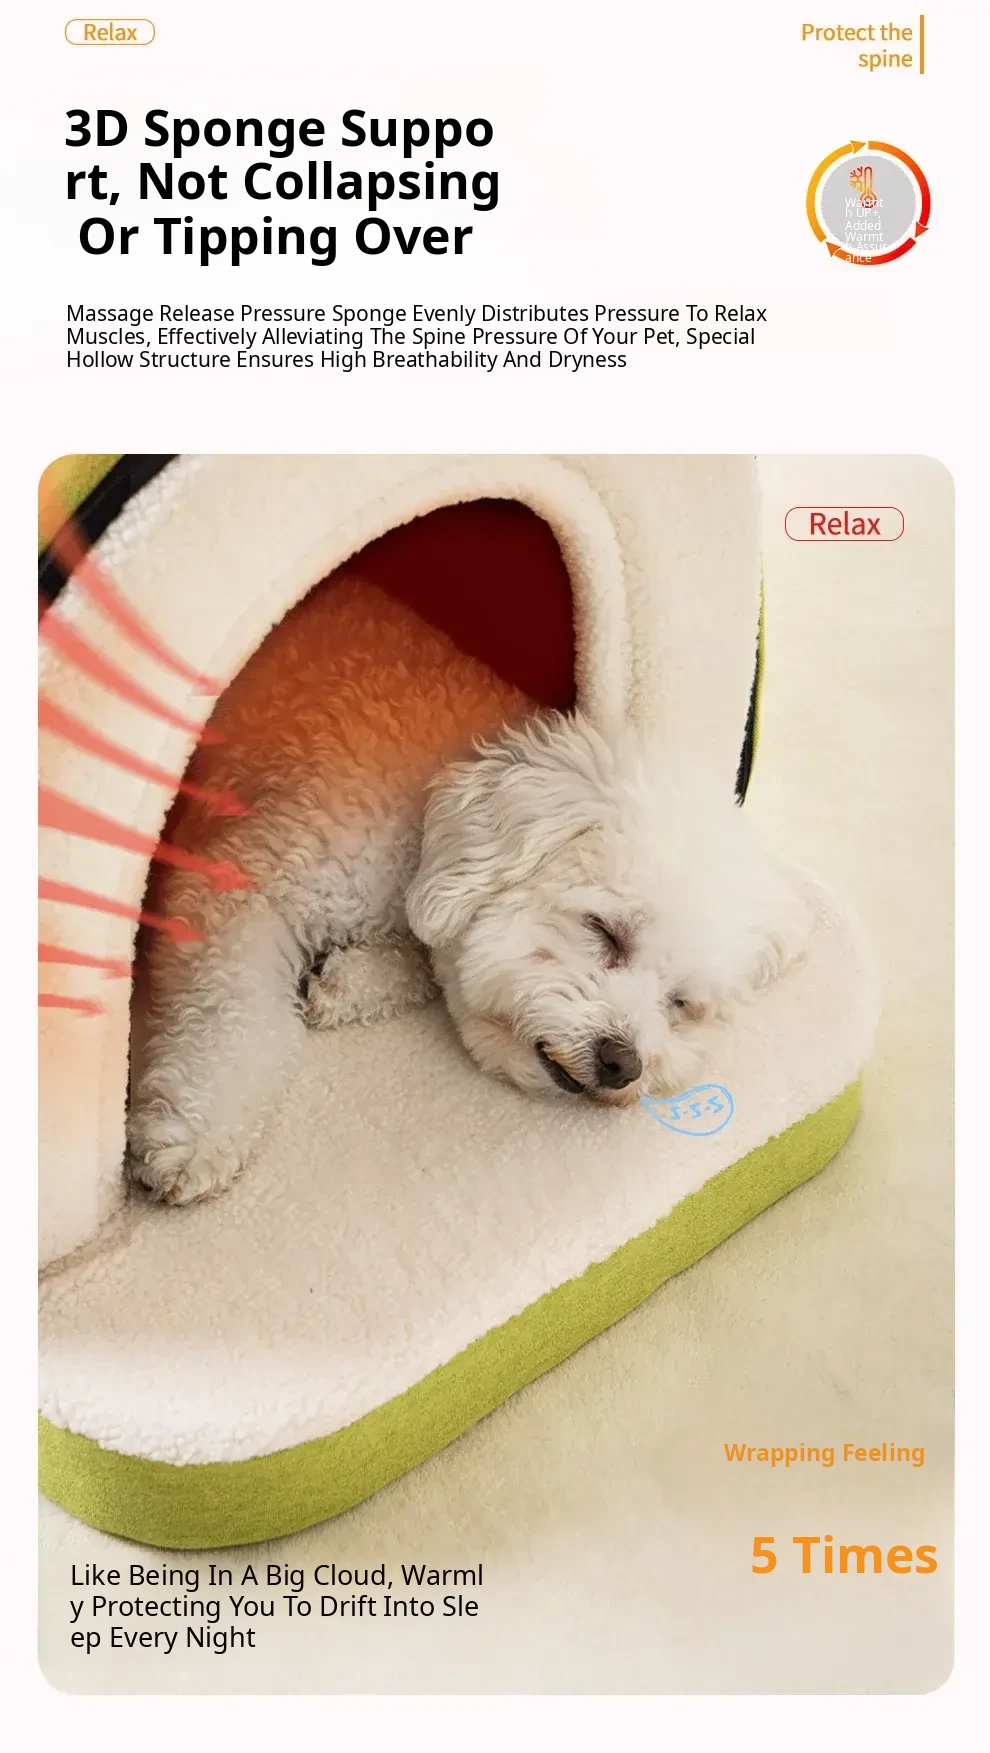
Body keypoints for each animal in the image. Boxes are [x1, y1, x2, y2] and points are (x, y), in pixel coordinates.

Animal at [128, 574, 808, 1206]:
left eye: (681, 1003)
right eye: (604, 931)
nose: (624, 1064)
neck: (426, 809)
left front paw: (346, 982)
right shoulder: (242, 882)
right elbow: (229, 1018)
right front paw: (196, 1136)